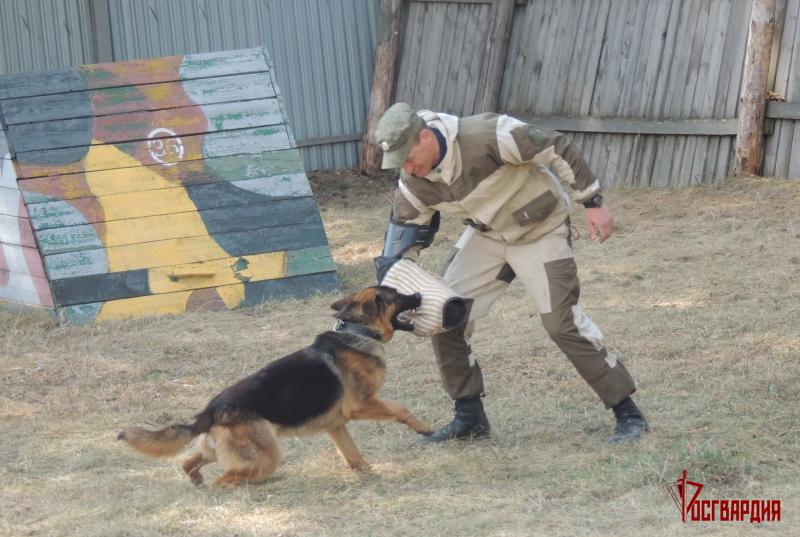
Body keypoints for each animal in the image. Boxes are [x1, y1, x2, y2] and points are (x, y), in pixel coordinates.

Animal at [118, 286, 432, 488]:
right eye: (398, 296)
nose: (420, 295)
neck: (358, 332)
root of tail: (211, 410)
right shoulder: (360, 405)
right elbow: (400, 408)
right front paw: (424, 428)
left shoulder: (336, 425)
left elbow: (352, 454)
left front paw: (366, 472)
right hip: (267, 456)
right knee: (225, 479)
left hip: (217, 451)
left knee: (189, 463)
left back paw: (197, 479)